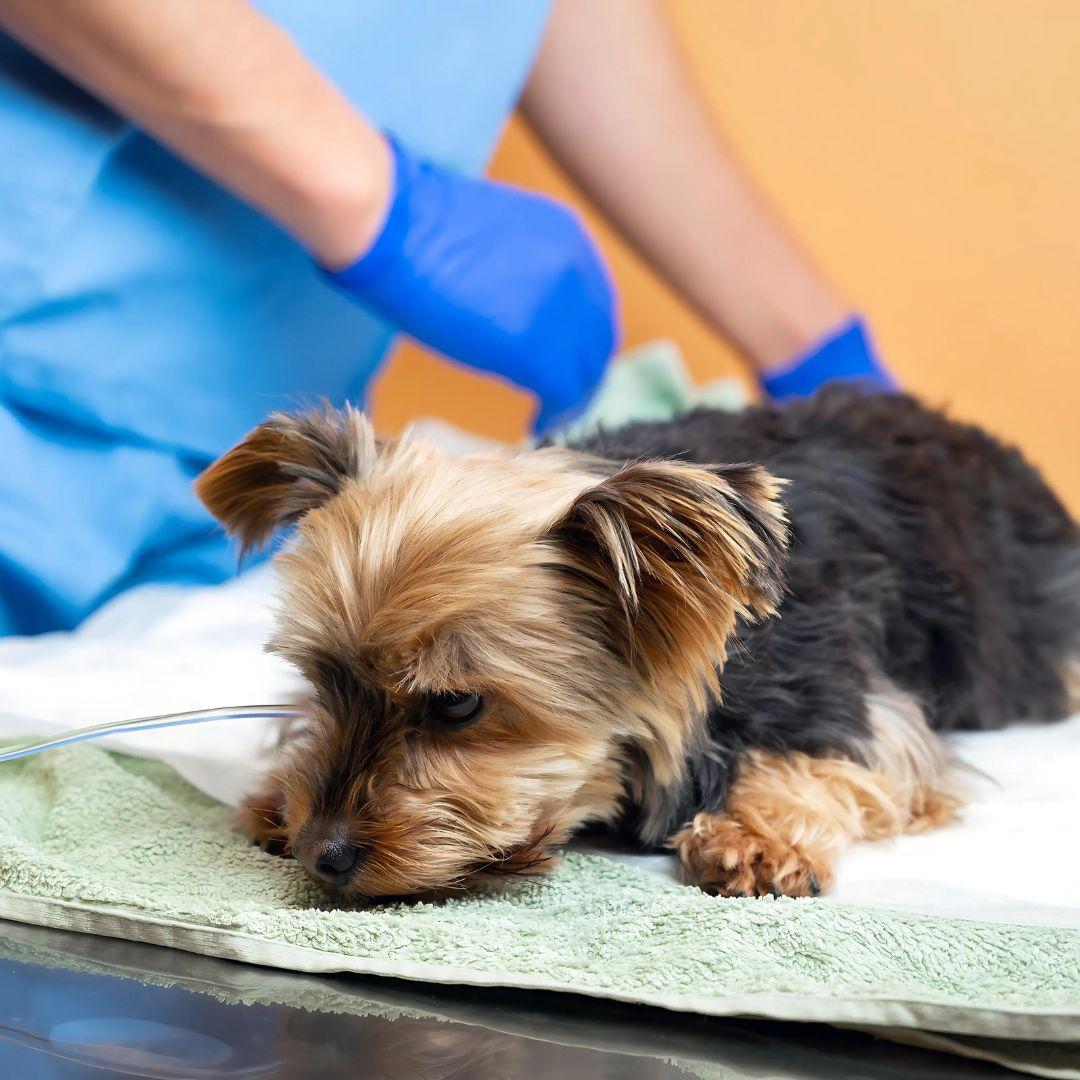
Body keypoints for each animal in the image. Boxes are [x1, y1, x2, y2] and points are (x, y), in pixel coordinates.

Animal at [196, 388, 1080, 902]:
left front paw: (754, 835)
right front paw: (277, 791)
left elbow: (842, 760)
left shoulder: (846, 687)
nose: (321, 854)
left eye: (457, 705)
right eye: (322, 678)